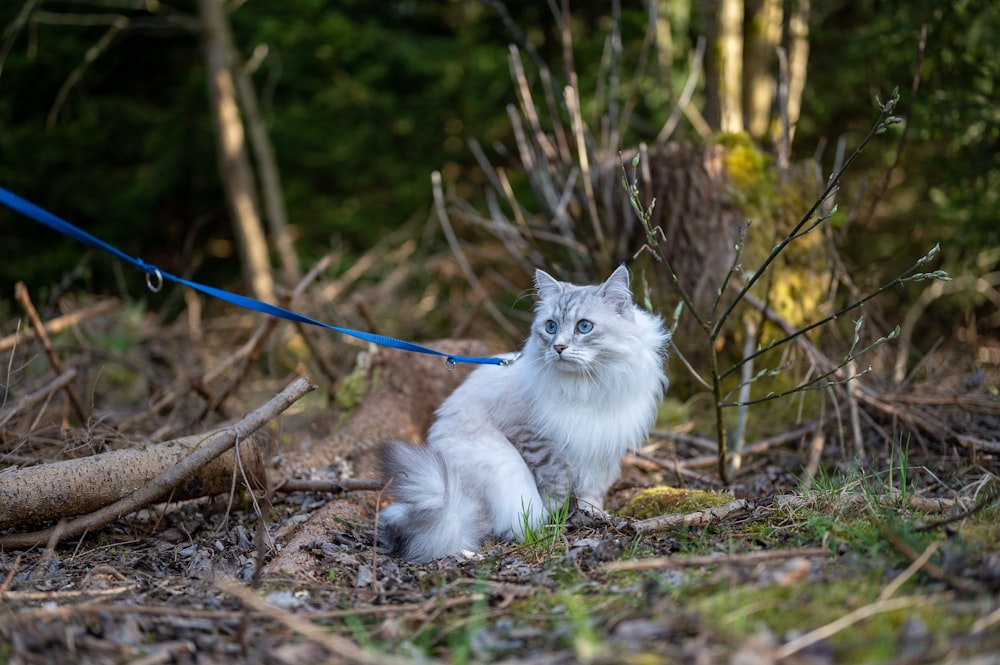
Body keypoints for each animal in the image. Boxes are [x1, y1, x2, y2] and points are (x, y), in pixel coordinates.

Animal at [378, 264, 668, 560]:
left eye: (584, 326)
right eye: (551, 327)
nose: (558, 347)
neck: (588, 386)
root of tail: (455, 502)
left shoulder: (602, 445)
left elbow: (593, 489)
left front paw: (594, 514)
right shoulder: (534, 439)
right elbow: (557, 483)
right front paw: (559, 518)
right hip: (503, 465)